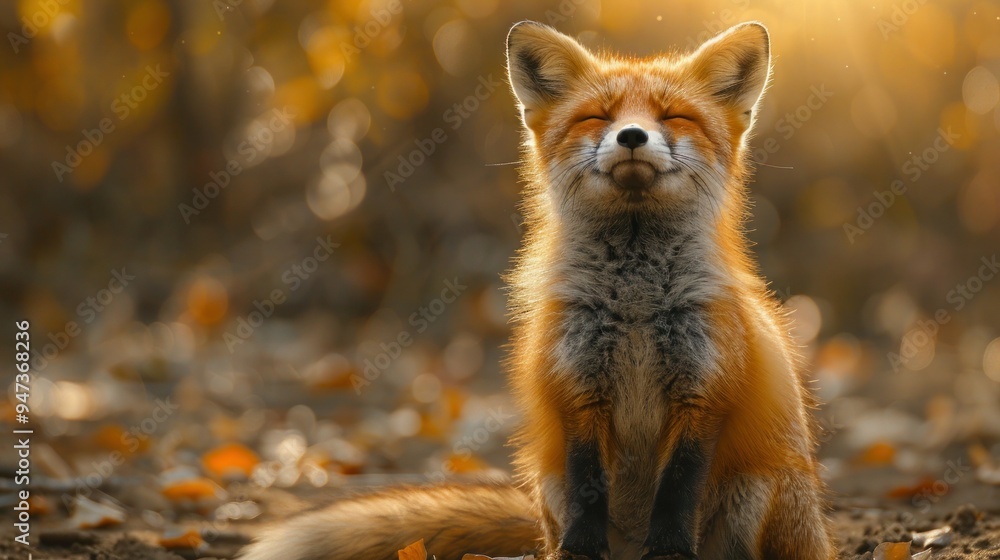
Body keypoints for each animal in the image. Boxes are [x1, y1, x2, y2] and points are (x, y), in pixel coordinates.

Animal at [238, 20, 836, 560]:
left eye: (673, 117)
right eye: (598, 117)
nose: (632, 135)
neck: (636, 304)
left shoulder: (704, 390)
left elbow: (677, 488)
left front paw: (668, 551)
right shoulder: (577, 388)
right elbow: (588, 486)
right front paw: (581, 551)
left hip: (759, 491)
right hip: (547, 483)